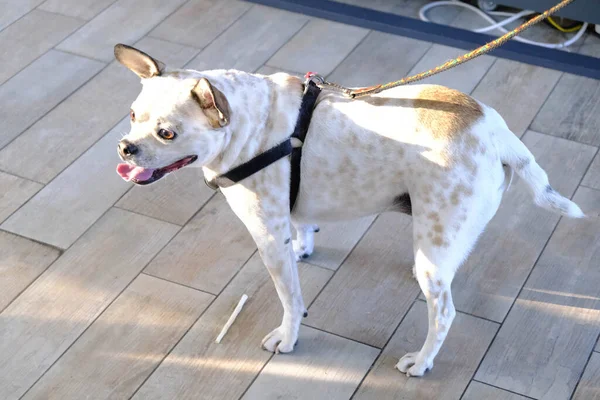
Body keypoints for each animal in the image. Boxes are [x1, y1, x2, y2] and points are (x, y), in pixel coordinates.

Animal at [111, 44, 580, 378]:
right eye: (132, 115)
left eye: (167, 133)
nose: (125, 147)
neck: (246, 126)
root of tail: (498, 133)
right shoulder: (290, 218)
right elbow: (304, 229)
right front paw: (304, 246)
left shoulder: (268, 237)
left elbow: (290, 297)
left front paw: (287, 337)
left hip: (434, 248)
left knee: (444, 312)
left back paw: (421, 362)